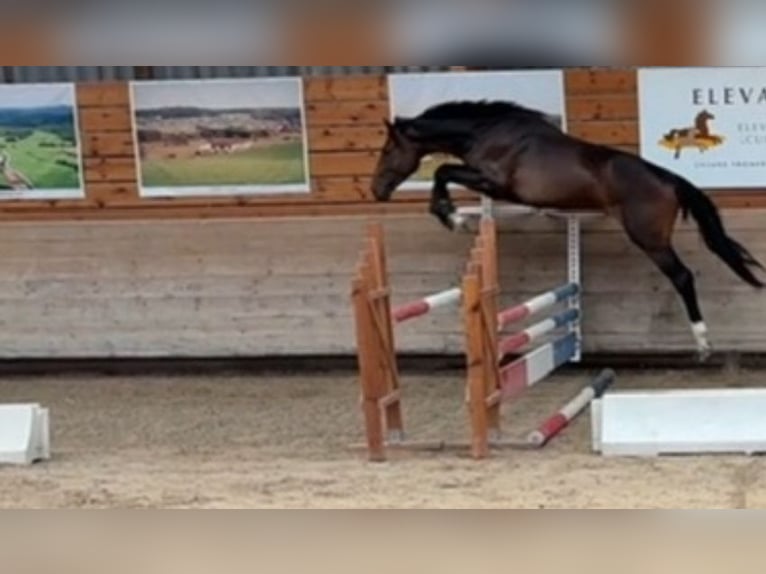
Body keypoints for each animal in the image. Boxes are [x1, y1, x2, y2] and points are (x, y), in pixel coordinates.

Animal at [370, 100, 764, 361]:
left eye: (388, 149)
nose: (377, 190)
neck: (486, 132)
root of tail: (670, 179)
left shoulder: (494, 183)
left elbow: (443, 172)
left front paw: (449, 215)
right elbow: (445, 172)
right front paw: (450, 213)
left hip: (650, 240)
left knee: (682, 277)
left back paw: (703, 343)